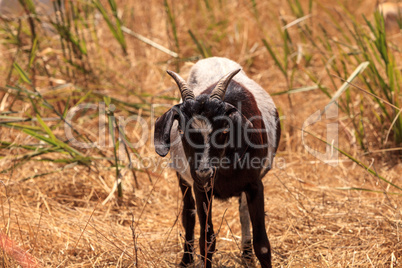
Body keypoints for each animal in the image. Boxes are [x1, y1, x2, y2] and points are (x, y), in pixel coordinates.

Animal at [154, 57, 280, 268]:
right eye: (182, 131)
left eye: (224, 131)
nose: (204, 172)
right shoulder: (201, 188)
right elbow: (206, 241)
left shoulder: (255, 185)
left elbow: (262, 244)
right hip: (183, 178)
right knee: (188, 215)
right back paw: (186, 260)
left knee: (242, 212)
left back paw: (246, 256)